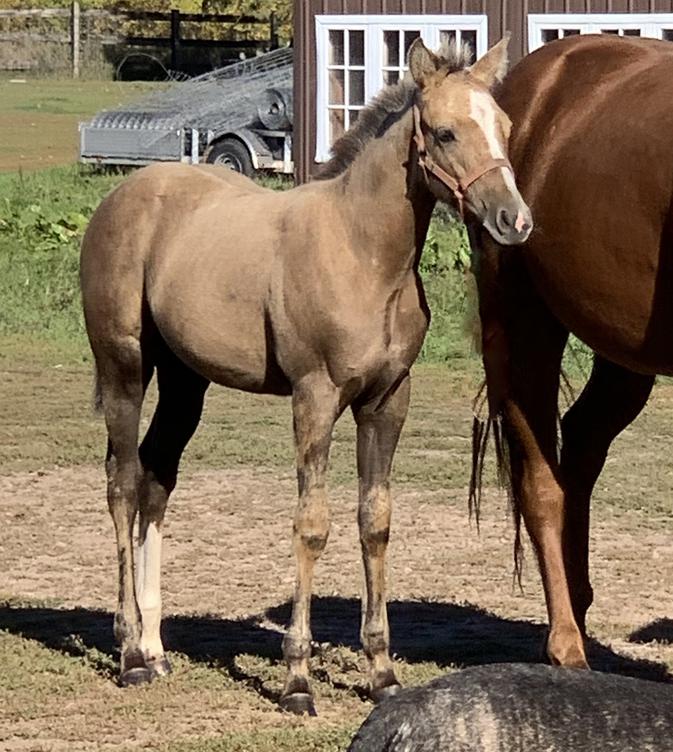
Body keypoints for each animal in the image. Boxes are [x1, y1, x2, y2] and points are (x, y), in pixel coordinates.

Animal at [80, 36, 531, 715]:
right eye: (446, 132)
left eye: (503, 126)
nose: (515, 220)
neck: (363, 254)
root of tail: (123, 195)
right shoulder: (314, 397)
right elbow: (312, 524)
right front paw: (296, 679)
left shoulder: (387, 400)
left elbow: (375, 521)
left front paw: (381, 672)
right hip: (125, 367)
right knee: (123, 483)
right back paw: (131, 652)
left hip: (186, 380)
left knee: (157, 478)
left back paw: (157, 649)